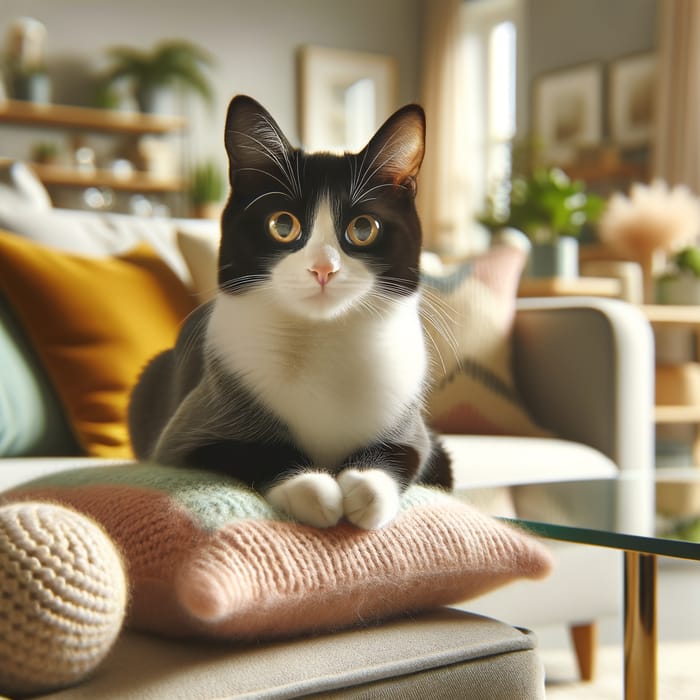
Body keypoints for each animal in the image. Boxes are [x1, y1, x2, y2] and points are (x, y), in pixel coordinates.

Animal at [129, 94, 452, 532]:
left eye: (363, 228)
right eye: (283, 224)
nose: (323, 269)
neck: (323, 337)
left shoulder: (411, 424)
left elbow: (406, 453)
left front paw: (366, 488)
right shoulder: (189, 428)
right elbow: (250, 451)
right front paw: (312, 488)